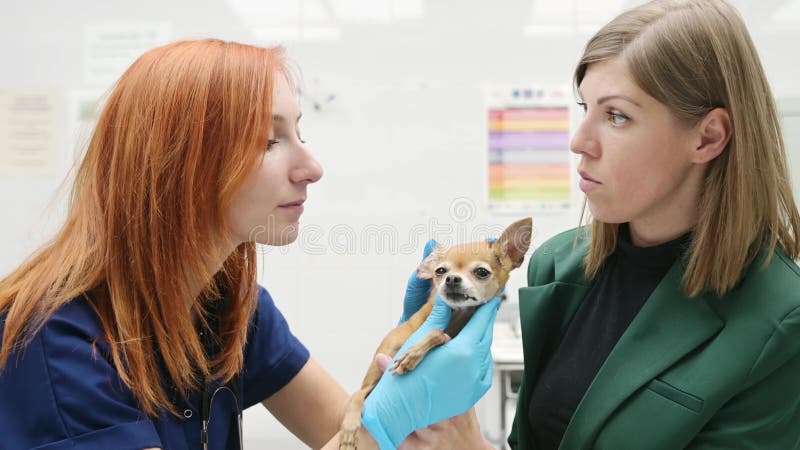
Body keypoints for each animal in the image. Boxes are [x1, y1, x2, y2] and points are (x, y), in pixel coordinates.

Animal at [338, 216, 532, 448]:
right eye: (440, 271)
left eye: (481, 272)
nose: (452, 279)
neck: (456, 315)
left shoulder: (449, 336)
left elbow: (438, 334)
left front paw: (411, 356)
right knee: (358, 394)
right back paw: (349, 430)